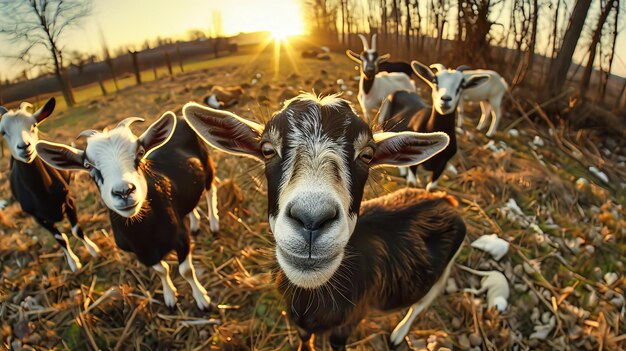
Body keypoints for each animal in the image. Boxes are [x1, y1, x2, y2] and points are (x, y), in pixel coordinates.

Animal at [0, 99, 98, 272]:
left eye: (34, 125)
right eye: (3, 132)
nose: (24, 146)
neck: (42, 193)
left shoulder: (68, 201)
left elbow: (76, 230)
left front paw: (94, 250)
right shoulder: (37, 217)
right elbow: (60, 238)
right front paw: (74, 264)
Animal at [36, 113, 219, 310]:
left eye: (140, 153)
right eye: (88, 165)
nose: (123, 191)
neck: (144, 233)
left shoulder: (180, 238)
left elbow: (186, 270)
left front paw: (202, 299)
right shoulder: (141, 253)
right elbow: (161, 270)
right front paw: (170, 296)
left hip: (206, 164)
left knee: (210, 191)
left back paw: (214, 224)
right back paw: (195, 224)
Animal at [180, 93, 464, 351]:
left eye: (367, 155)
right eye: (267, 150)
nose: (312, 219)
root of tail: (446, 199)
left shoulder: (348, 324)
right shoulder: (301, 323)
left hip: (443, 270)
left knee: (422, 302)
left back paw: (398, 333)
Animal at [378, 62, 490, 191]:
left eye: (461, 85)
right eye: (435, 80)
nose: (445, 99)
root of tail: (403, 90)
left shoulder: (441, 166)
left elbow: (431, 188)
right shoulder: (415, 164)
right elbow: (411, 183)